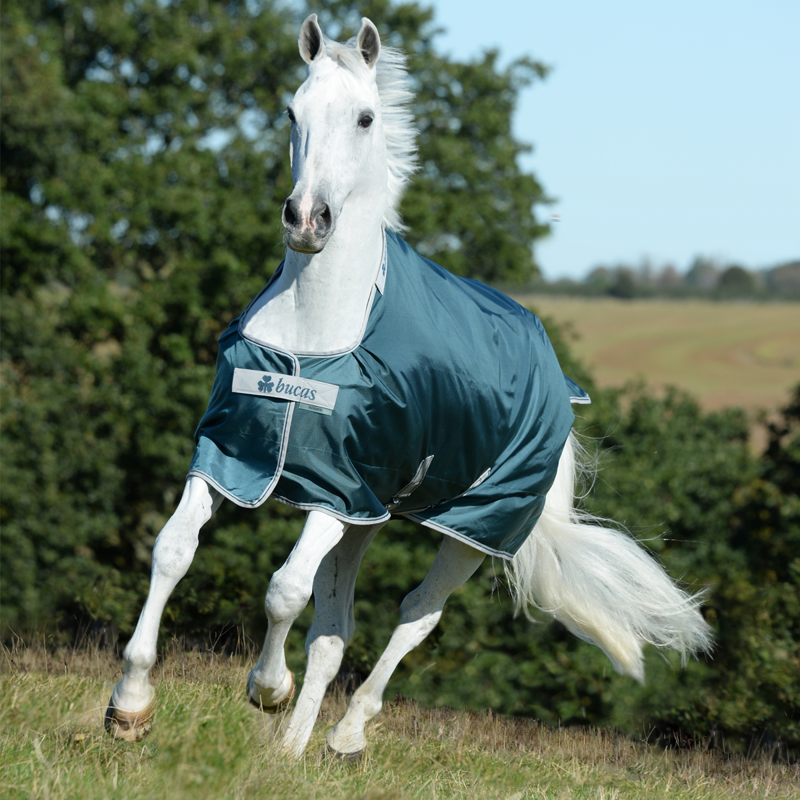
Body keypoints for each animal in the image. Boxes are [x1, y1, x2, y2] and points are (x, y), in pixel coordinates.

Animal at [104, 14, 713, 760]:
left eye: (365, 118)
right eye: (292, 112)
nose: (306, 221)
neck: (312, 336)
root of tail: (555, 377)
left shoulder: (335, 492)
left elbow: (284, 590)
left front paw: (266, 688)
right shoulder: (234, 460)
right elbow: (172, 552)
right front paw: (131, 705)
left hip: (471, 529)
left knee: (416, 616)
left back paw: (345, 733)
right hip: (371, 519)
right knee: (335, 630)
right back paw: (292, 750)